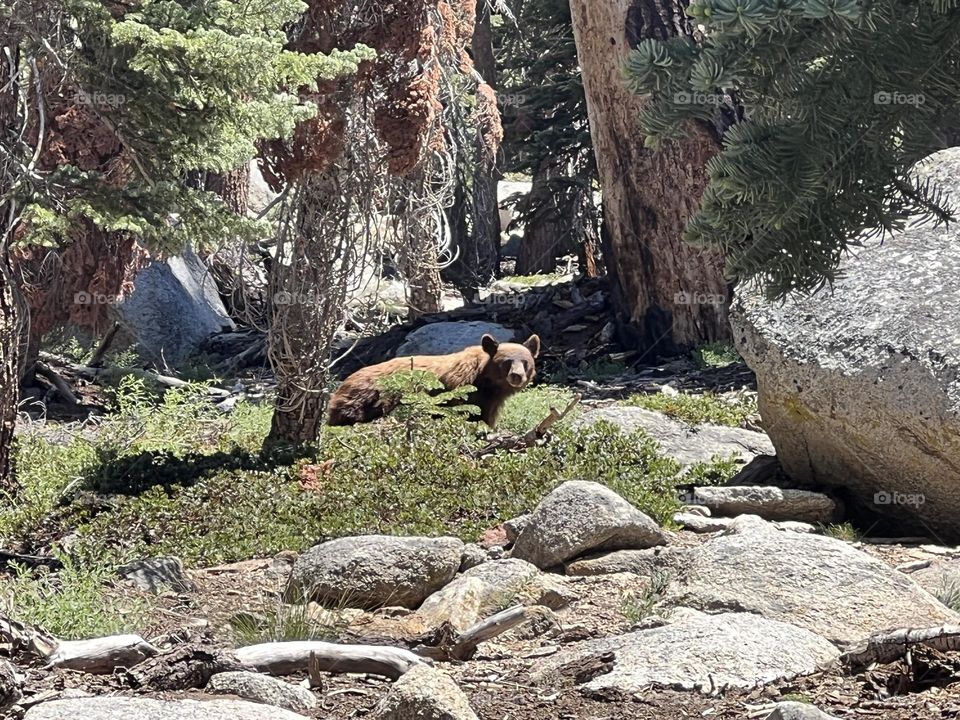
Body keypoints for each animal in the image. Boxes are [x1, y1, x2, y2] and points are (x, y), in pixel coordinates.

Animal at [328, 334, 540, 428]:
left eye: (525, 362)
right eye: (507, 362)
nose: (517, 376)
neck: (486, 382)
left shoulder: (490, 403)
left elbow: (485, 418)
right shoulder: (459, 388)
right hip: (374, 391)